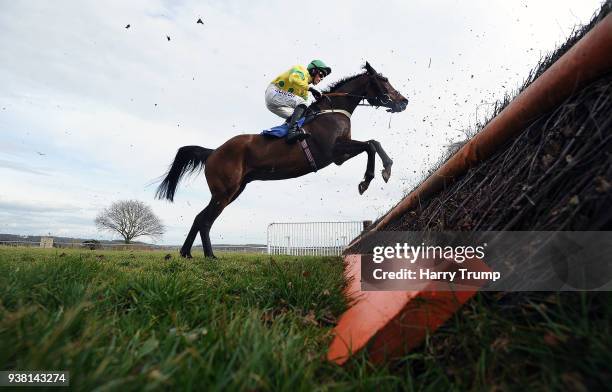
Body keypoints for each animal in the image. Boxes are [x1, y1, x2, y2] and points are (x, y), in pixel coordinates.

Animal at [155, 62, 408, 258]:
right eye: (384, 81)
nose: (404, 101)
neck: (332, 110)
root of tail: (213, 151)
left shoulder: (340, 157)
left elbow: (371, 144)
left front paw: (378, 173)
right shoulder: (333, 151)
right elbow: (371, 144)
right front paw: (374, 176)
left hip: (233, 190)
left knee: (200, 217)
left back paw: (186, 253)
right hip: (224, 191)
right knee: (206, 220)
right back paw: (209, 255)